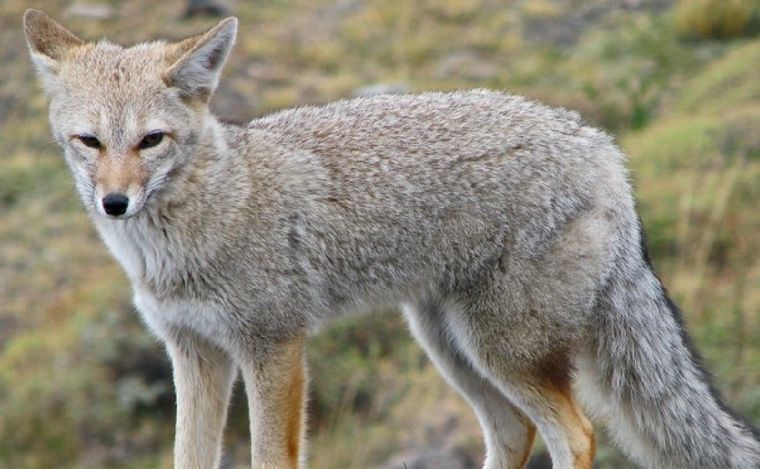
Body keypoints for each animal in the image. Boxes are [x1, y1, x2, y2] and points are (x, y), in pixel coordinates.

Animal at [22, 8, 760, 469]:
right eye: (89, 142)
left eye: (151, 141)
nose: (115, 203)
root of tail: (600, 144)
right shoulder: (194, 352)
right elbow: (189, 456)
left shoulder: (273, 345)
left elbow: (270, 454)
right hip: (449, 344)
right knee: (515, 431)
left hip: (500, 350)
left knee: (574, 434)